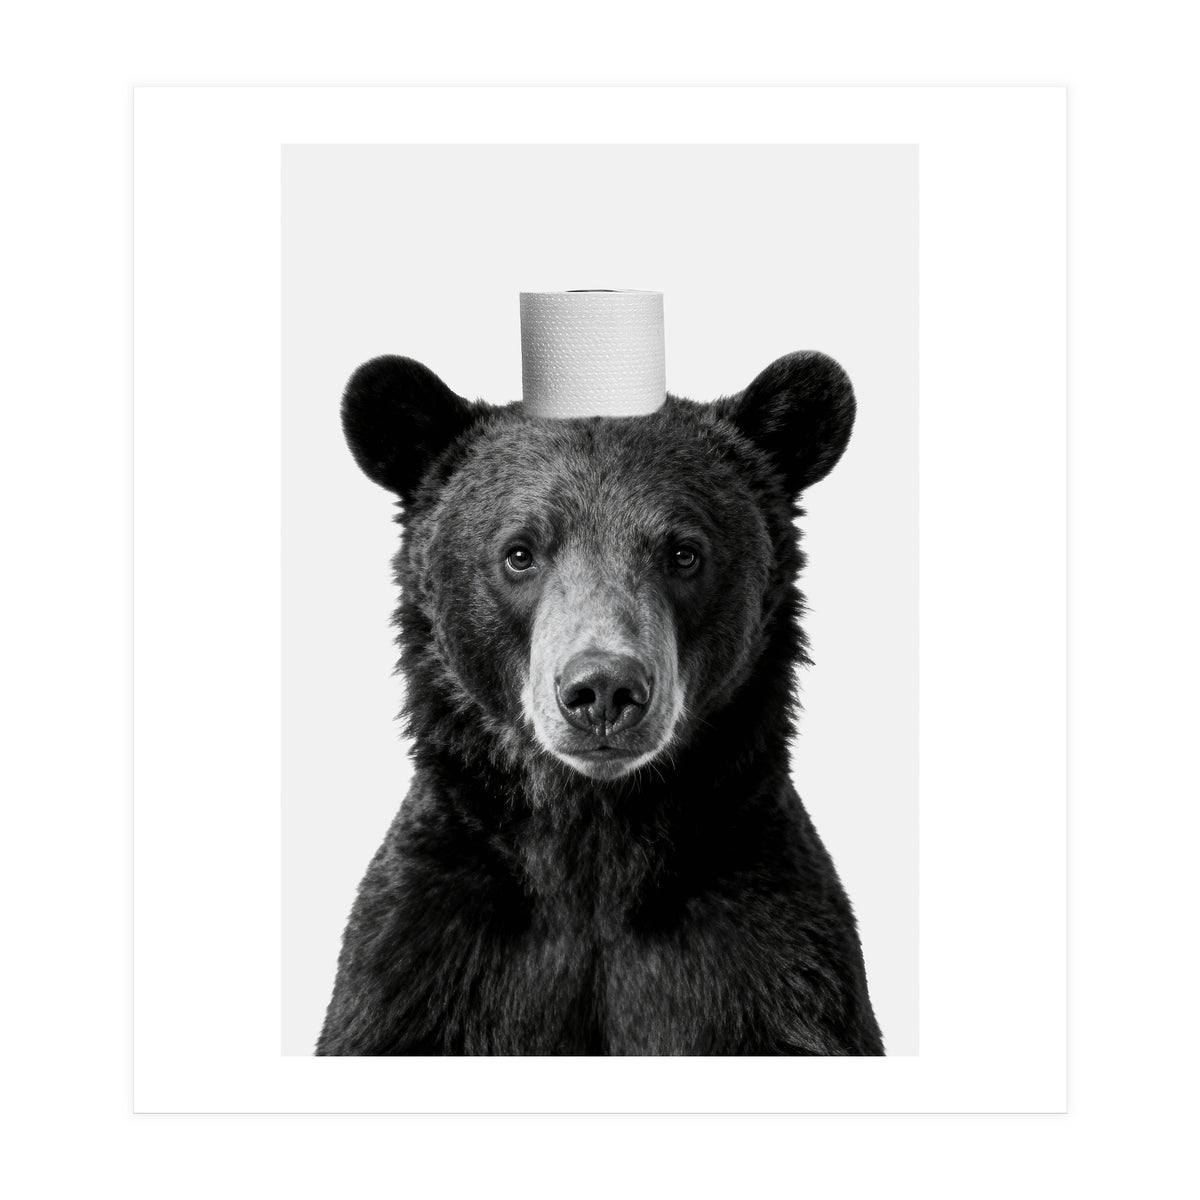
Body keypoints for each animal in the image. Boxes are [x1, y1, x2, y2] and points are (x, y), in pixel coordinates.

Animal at [316, 350, 885, 1056]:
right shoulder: (425, 957)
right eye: (519, 553)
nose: (604, 690)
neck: (595, 837)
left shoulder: (772, 957)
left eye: (684, 552)